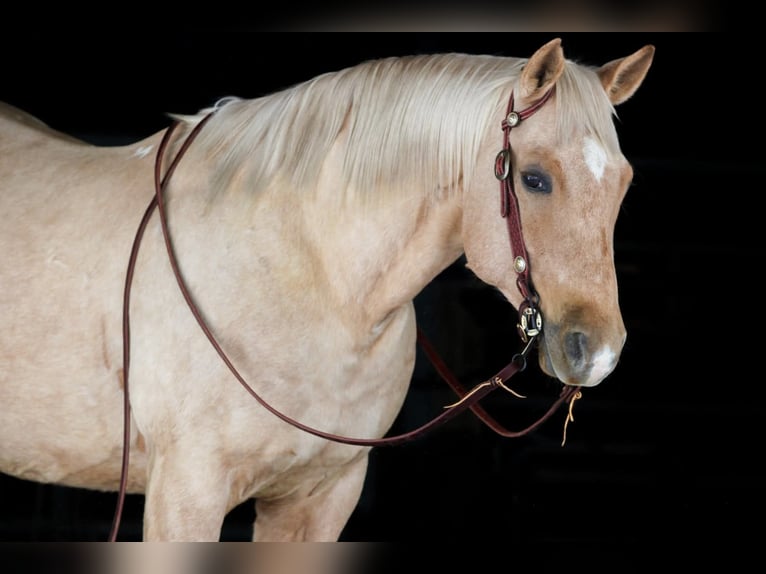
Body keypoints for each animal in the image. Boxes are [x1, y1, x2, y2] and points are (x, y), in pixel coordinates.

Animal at [0, 38, 654, 541]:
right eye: (535, 178)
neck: (312, 274)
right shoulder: (186, 491)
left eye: (623, 184)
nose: (597, 352)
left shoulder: (320, 498)